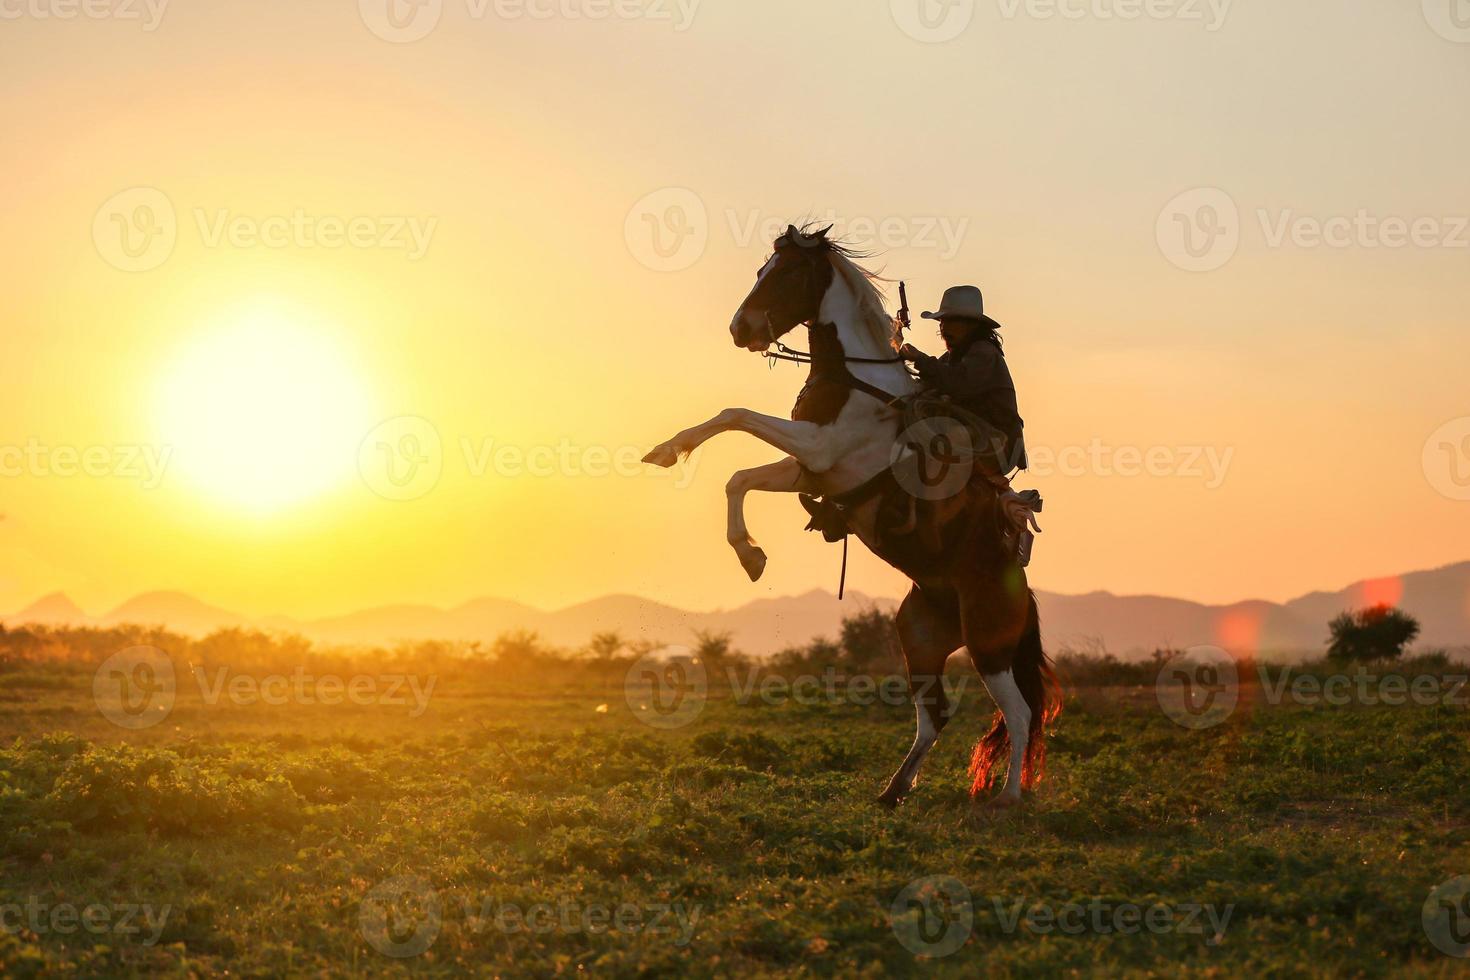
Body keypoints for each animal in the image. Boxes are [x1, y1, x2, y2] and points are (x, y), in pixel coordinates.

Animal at [643, 226, 1058, 811]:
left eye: (789, 273)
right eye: (761, 270)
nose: (741, 329)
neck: (855, 383)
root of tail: (1021, 590)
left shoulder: (818, 448)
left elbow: (737, 415)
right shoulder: (811, 469)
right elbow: (739, 477)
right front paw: (748, 552)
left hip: (988, 644)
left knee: (1018, 714)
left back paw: (1008, 797)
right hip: (920, 638)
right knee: (935, 715)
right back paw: (894, 789)